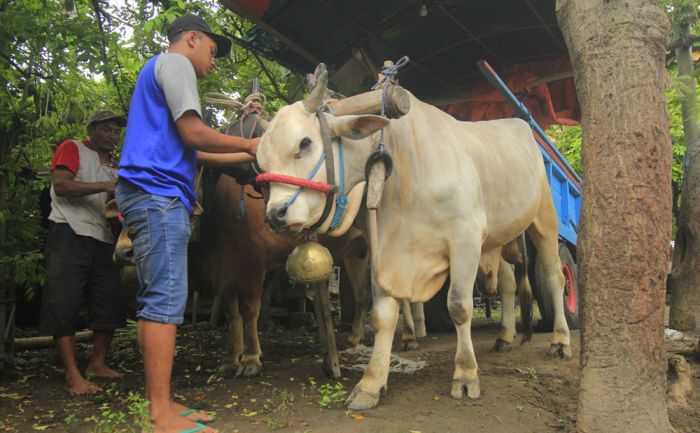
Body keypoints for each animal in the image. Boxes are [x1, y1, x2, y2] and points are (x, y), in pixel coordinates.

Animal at [258, 65, 568, 408]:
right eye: (259, 161)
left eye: (304, 143)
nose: (276, 214)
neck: (406, 168)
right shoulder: (384, 249)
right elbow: (382, 315)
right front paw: (371, 383)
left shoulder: (465, 239)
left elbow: (459, 306)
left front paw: (465, 375)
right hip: (498, 238)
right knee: (510, 283)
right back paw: (505, 336)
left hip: (545, 218)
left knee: (554, 277)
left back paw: (560, 340)